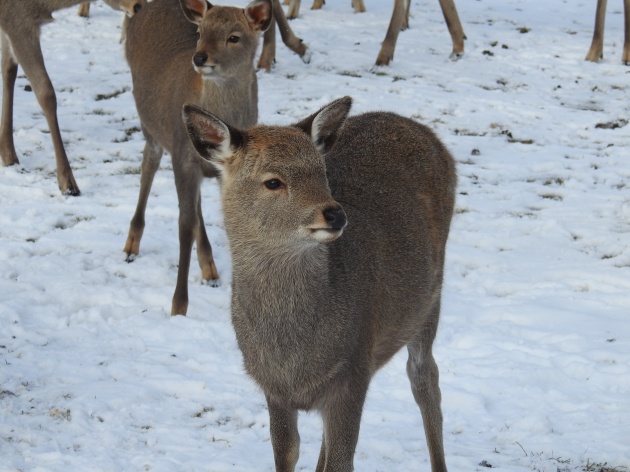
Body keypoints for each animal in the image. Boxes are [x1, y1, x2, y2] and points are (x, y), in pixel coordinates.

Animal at [0, 0, 146, 195]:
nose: (139, 6)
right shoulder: (18, 21)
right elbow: (46, 93)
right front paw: (67, 182)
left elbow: (9, 70)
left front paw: (8, 154)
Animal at [123, 0, 272, 316]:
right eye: (201, 32)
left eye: (233, 37)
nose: (200, 57)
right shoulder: (182, 156)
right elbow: (184, 225)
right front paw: (179, 305)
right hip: (150, 127)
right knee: (148, 166)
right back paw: (131, 244)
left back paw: (209, 268)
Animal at [185, 97, 456, 472]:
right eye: (273, 182)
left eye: (321, 171)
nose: (335, 214)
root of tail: (419, 128)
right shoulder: (275, 389)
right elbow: (288, 453)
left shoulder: (354, 368)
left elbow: (342, 461)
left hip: (430, 298)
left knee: (425, 376)